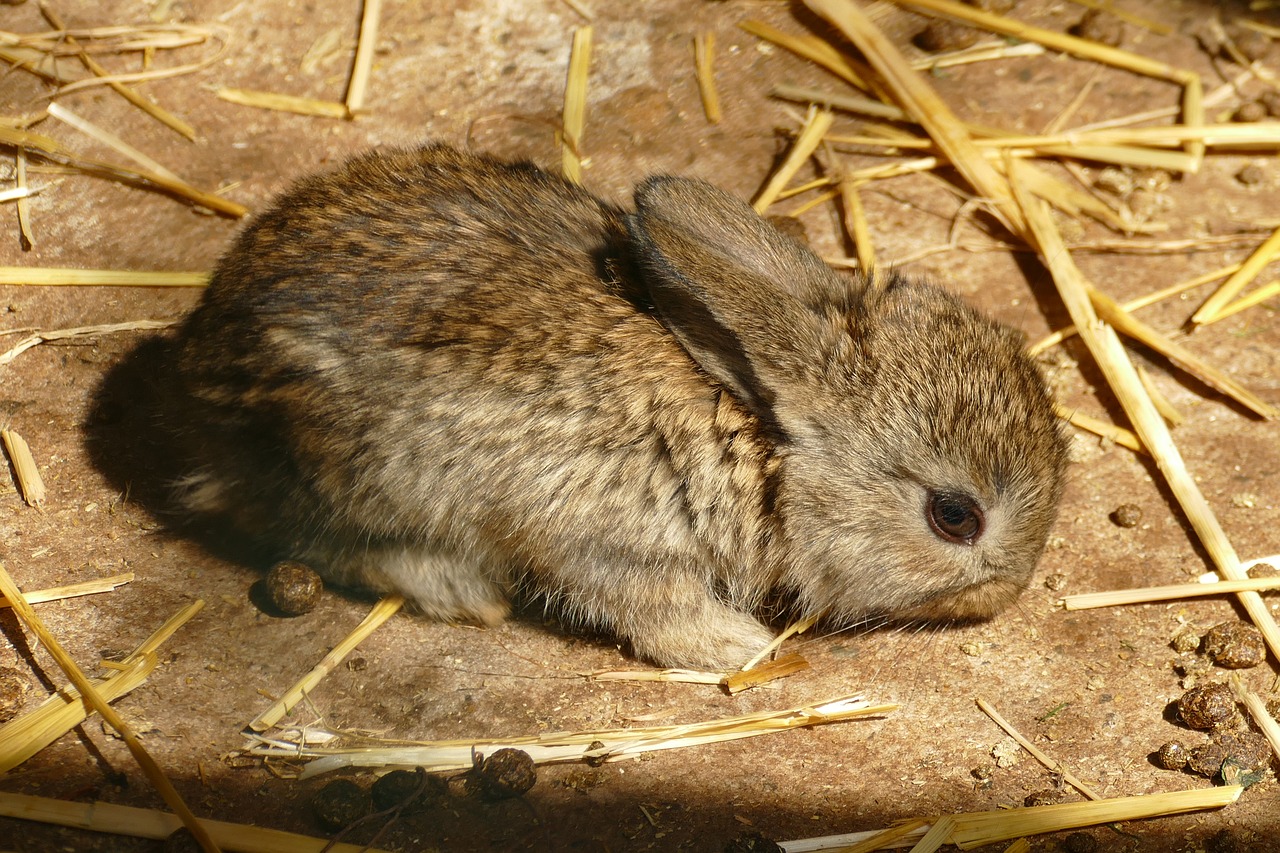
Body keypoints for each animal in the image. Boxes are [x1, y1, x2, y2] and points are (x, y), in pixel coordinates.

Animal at [170, 142, 1070, 666]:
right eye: (955, 516)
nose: (1008, 591)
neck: (760, 441)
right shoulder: (607, 539)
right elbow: (652, 607)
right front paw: (739, 646)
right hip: (361, 474)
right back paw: (465, 594)